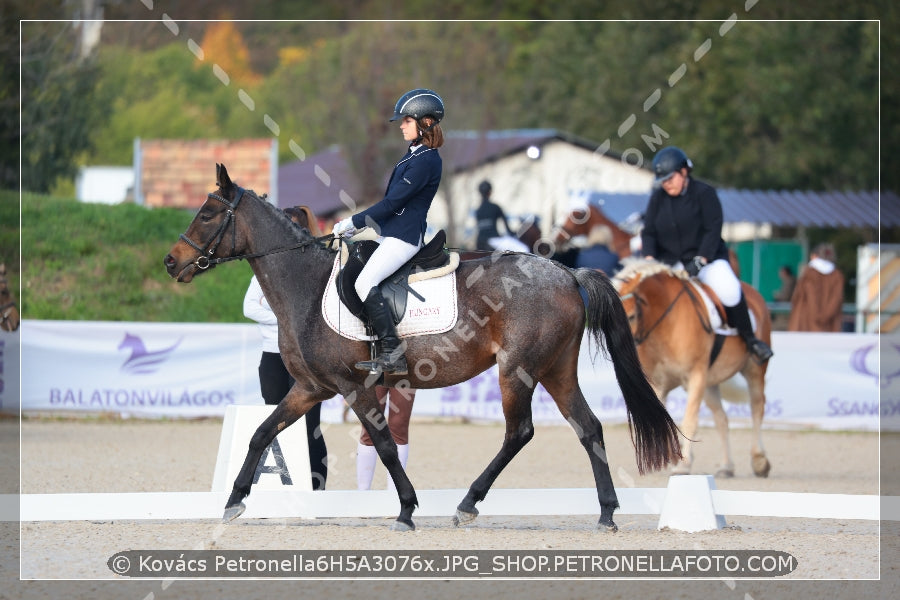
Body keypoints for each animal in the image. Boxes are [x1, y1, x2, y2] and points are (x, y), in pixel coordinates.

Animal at [165, 163, 680, 528]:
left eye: (207, 214)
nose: (172, 262)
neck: (305, 287)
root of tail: (568, 273)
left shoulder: (355, 388)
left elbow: (385, 446)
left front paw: (408, 510)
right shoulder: (310, 388)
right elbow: (261, 433)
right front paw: (233, 502)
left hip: (517, 371)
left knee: (520, 432)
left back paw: (468, 503)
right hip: (556, 370)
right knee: (588, 428)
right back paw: (607, 513)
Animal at [612, 258, 772, 478]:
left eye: (632, 316)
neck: (665, 324)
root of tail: (751, 291)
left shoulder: (695, 376)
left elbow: (689, 421)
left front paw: (684, 464)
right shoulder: (656, 384)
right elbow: (658, 419)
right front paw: (668, 459)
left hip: (753, 370)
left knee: (757, 407)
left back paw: (759, 461)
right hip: (710, 383)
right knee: (722, 419)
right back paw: (726, 466)